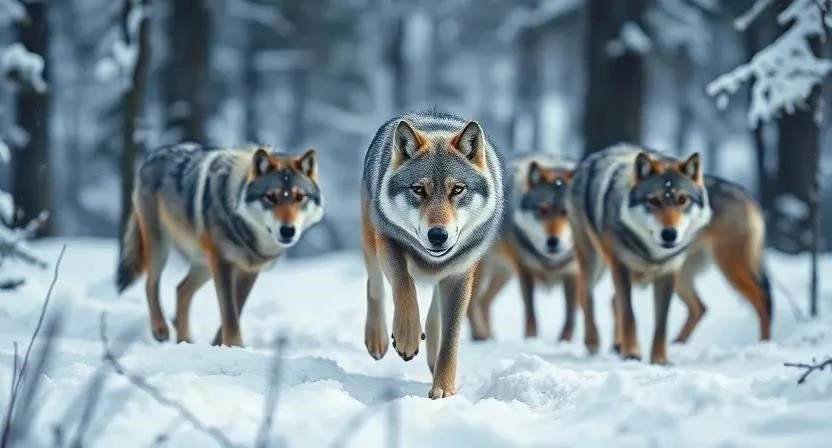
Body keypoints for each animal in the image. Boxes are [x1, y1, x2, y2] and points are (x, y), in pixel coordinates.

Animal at [116, 143, 323, 347]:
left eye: (299, 197)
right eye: (271, 197)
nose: (287, 230)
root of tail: (153, 155)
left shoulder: (250, 271)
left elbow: (236, 309)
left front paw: (220, 346)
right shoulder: (223, 263)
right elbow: (229, 313)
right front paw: (234, 346)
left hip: (204, 266)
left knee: (181, 289)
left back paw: (185, 341)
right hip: (161, 246)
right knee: (151, 284)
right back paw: (160, 329)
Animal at [361, 110, 504, 398]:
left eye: (457, 189)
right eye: (418, 189)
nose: (438, 235)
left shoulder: (460, 274)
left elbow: (450, 339)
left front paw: (443, 390)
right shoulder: (389, 242)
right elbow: (404, 285)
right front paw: (406, 337)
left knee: (434, 318)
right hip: (370, 239)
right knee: (375, 284)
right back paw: (377, 339)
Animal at [467, 155, 579, 342]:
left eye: (566, 212)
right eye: (542, 210)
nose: (553, 241)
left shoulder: (574, 274)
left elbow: (570, 317)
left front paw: (565, 341)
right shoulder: (525, 270)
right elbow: (531, 313)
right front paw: (530, 339)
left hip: (504, 274)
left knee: (484, 301)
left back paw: (490, 336)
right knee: (472, 303)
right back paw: (479, 335)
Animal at [567, 143, 714, 365]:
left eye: (682, 200)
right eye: (653, 200)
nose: (669, 234)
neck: (652, 252)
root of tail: (593, 156)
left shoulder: (668, 273)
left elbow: (661, 323)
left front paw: (660, 360)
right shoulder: (620, 266)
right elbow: (629, 313)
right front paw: (632, 353)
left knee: (612, 300)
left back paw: (617, 345)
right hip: (593, 261)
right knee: (587, 296)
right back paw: (593, 342)